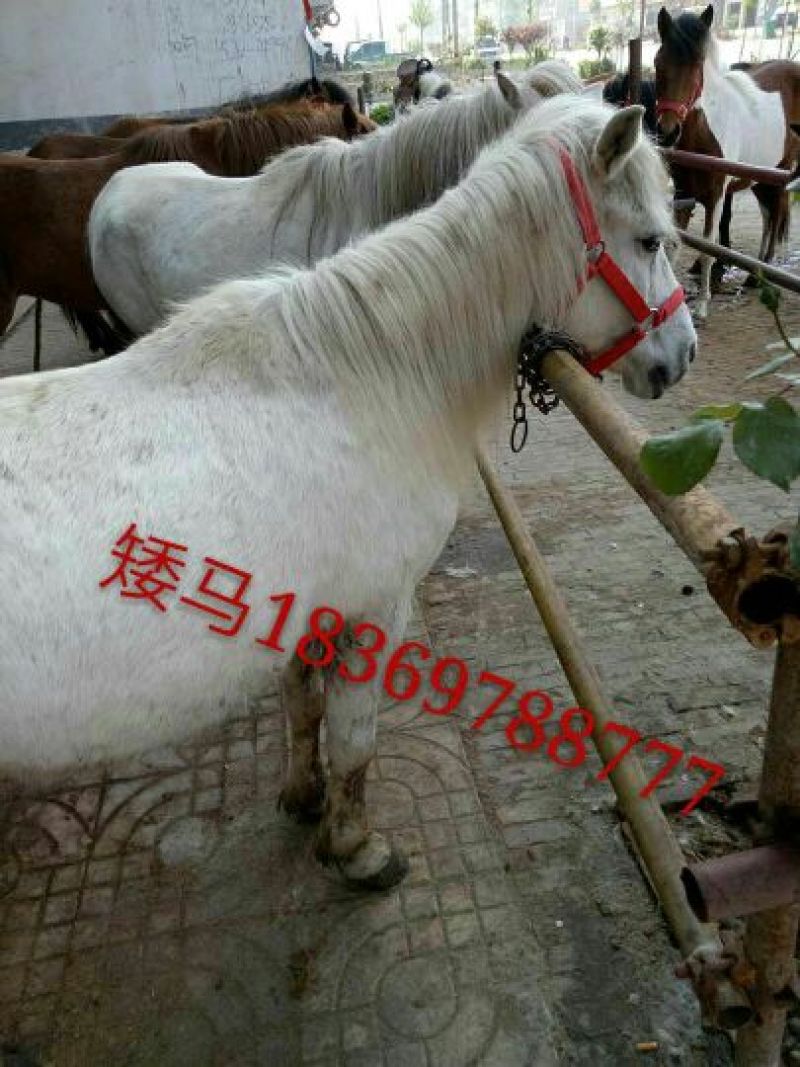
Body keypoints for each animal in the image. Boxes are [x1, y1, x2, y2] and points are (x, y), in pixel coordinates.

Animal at [654, 5, 788, 318]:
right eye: (657, 64)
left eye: (697, 66)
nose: (668, 132)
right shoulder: (684, 195)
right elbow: (675, 245)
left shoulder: (715, 197)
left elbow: (708, 248)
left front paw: (702, 304)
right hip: (759, 181)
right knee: (767, 217)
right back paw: (754, 274)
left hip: (778, 177)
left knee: (776, 216)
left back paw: (763, 275)